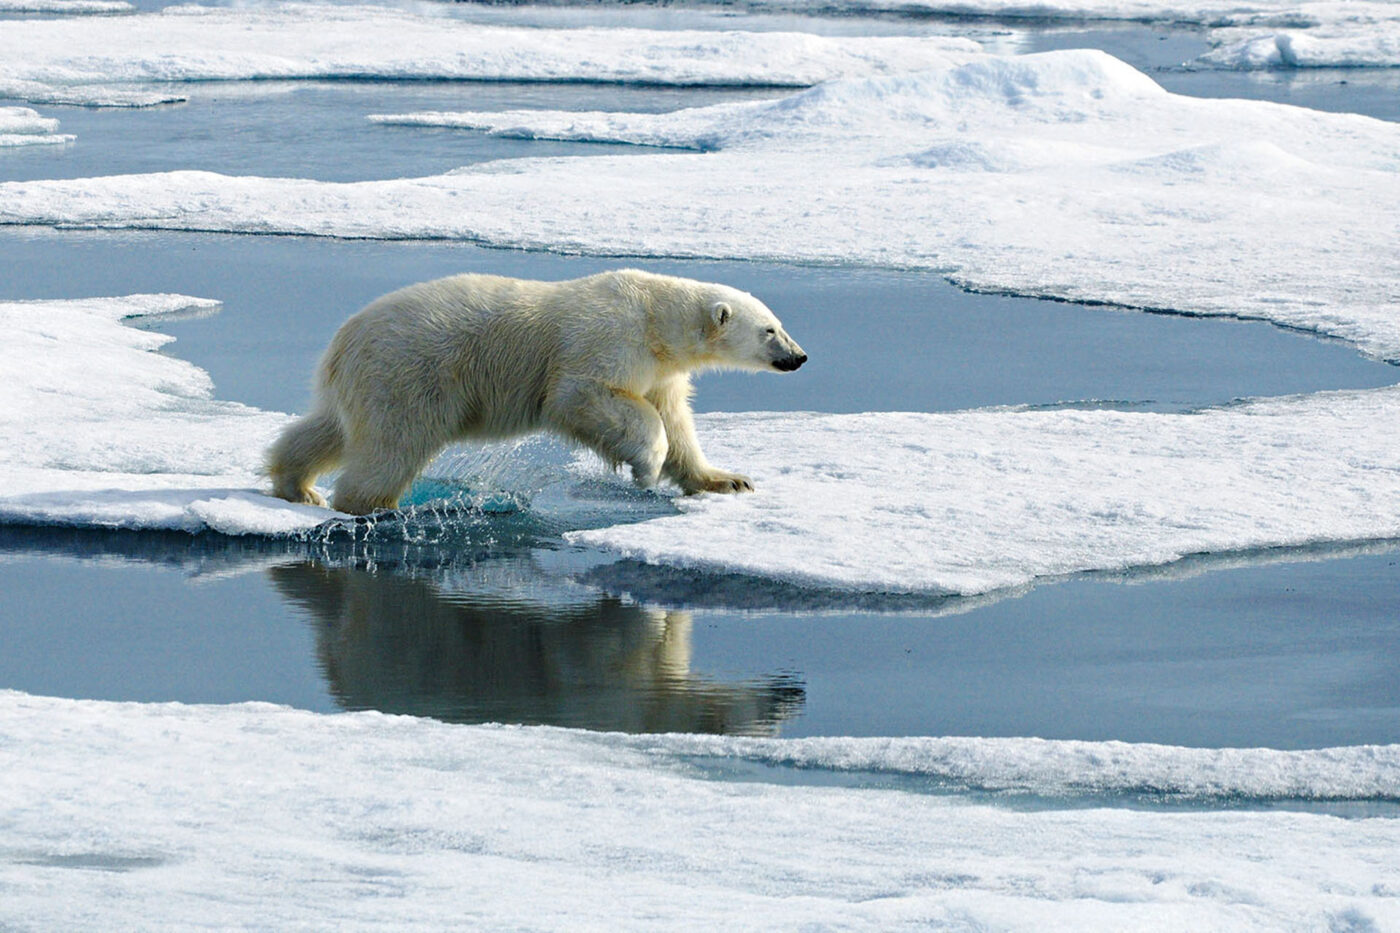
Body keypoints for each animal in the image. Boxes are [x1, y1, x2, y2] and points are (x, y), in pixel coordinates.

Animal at [265, 268, 807, 515]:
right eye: (770, 331)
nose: (799, 357)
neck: (655, 317)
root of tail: (343, 341)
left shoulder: (662, 370)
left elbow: (677, 422)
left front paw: (728, 479)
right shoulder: (606, 340)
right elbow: (580, 396)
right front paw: (645, 468)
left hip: (367, 382)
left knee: (330, 430)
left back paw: (298, 485)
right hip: (409, 374)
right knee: (392, 445)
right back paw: (372, 505)